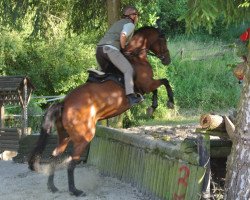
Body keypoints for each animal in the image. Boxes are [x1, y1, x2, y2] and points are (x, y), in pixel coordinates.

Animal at [28, 26, 174, 197]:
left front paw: (152, 107)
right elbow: (164, 82)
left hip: (65, 136)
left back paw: (52, 187)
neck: (136, 56)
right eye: (163, 39)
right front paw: (168, 102)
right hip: (84, 136)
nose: (167, 60)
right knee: (72, 162)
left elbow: (159, 88)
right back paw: (75, 191)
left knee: (55, 156)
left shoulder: (147, 86)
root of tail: (64, 103)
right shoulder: (147, 84)